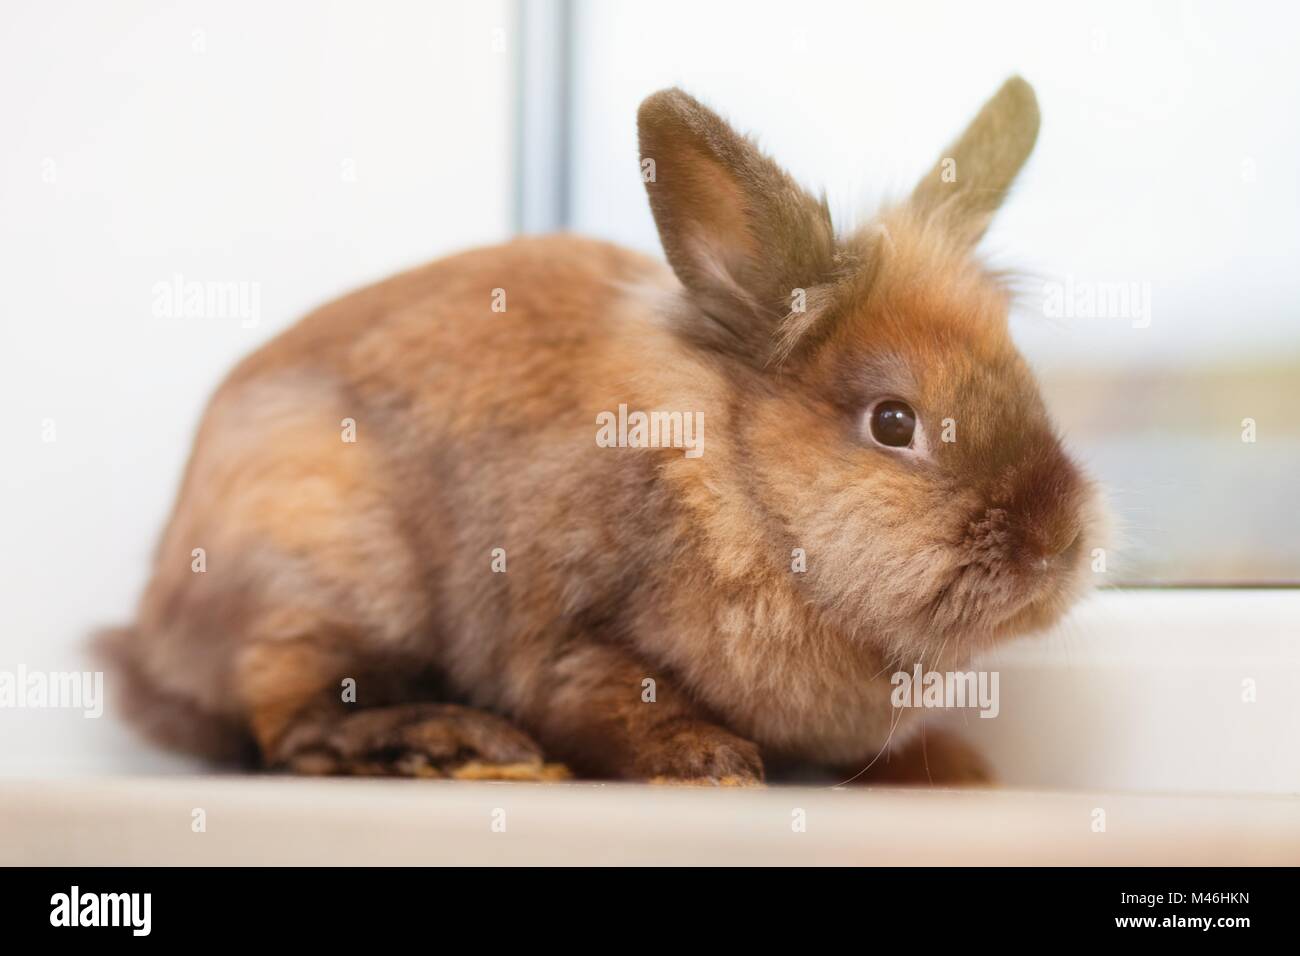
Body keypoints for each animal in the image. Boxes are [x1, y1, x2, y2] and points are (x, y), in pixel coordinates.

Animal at [96, 78, 1102, 785]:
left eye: (1025, 381)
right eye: (893, 422)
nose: (1056, 543)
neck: (738, 488)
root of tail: (155, 625)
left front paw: (953, 766)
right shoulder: (567, 636)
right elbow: (604, 699)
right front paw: (710, 761)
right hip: (326, 576)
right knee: (292, 727)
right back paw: (453, 744)